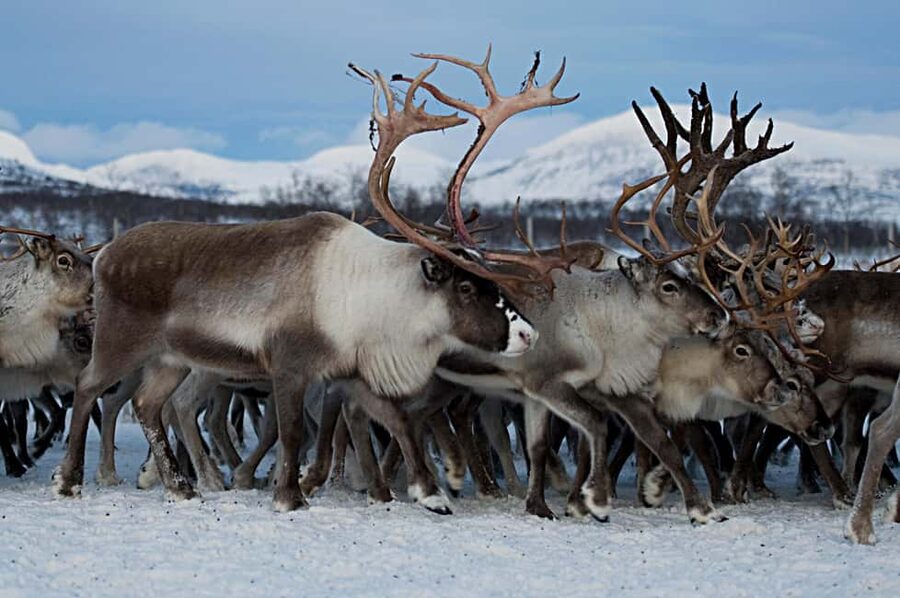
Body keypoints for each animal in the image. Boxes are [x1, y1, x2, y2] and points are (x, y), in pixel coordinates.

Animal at [52, 47, 588, 514]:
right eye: (466, 286)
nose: (528, 334)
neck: (377, 300)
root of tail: (104, 255)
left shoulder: (350, 371)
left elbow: (396, 420)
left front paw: (430, 493)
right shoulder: (290, 364)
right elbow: (292, 432)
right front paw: (289, 495)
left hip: (171, 358)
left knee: (148, 405)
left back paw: (180, 487)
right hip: (122, 340)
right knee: (88, 386)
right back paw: (70, 479)